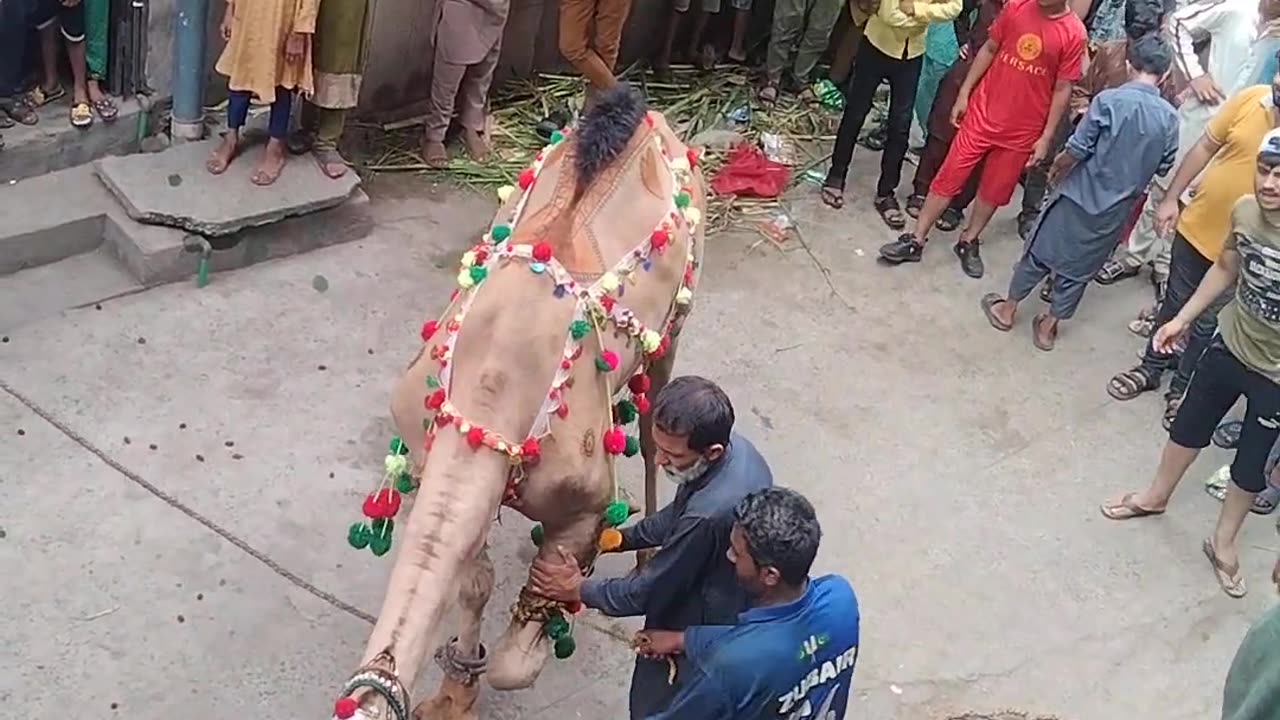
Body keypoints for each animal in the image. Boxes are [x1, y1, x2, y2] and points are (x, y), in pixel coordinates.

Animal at [332, 82, 711, 717]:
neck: (491, 396)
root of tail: (655, 115)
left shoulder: (579, 501)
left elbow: (518, 660)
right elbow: (473, 580)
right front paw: (456, 690)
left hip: (677, 323)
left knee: (656, 428)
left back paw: (647, 548)